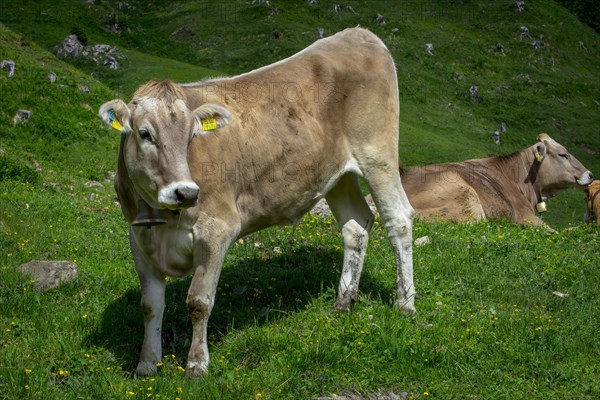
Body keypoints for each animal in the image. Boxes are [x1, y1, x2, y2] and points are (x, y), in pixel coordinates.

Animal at [99, 28, 418, 378]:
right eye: (145, 134)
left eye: (192, 136)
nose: (185, 193)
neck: (162, 219)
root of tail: (358, 33)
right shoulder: (139, 237)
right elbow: (150, 305)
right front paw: (146, 363)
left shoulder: (217, 229)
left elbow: (199, 301)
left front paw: (197, 363)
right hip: (337, 173)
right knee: (356, 227)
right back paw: (343, 303)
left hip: (377, 154)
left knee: (399, 220)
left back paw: (405, 303)